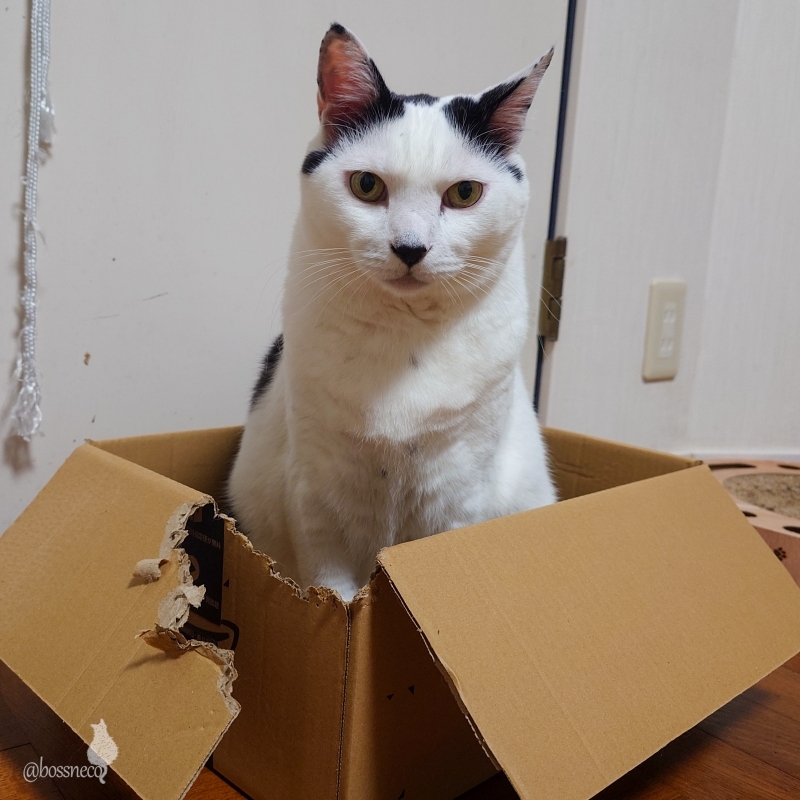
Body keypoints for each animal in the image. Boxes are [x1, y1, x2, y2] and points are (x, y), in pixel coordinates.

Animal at [228, 23, 556, 602]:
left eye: (465, 193)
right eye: (367, 185)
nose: (410, 247)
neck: (404, 339)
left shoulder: (459, 495)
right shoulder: (315, 498)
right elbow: (332, 595)